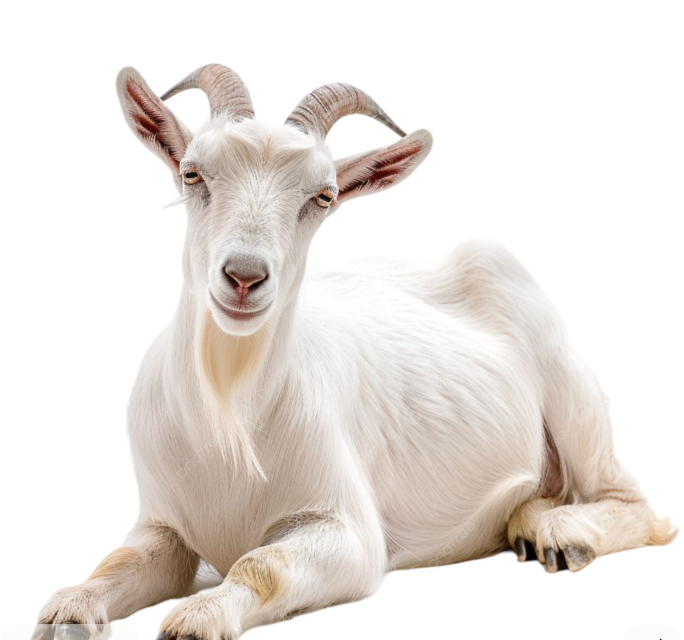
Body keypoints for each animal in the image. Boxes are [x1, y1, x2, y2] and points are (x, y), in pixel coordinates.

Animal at [34, 64, 676, 640]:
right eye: (193, 174)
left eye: (324, 196)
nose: (244, 277)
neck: (228, 419)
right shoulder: (162, 524)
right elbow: (122, 560)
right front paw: (69, 611)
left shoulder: (349, 530)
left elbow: (262, 563)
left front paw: (199, 617)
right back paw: (527, 520)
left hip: (570, 389)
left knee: (637, 503)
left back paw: (563, 535)